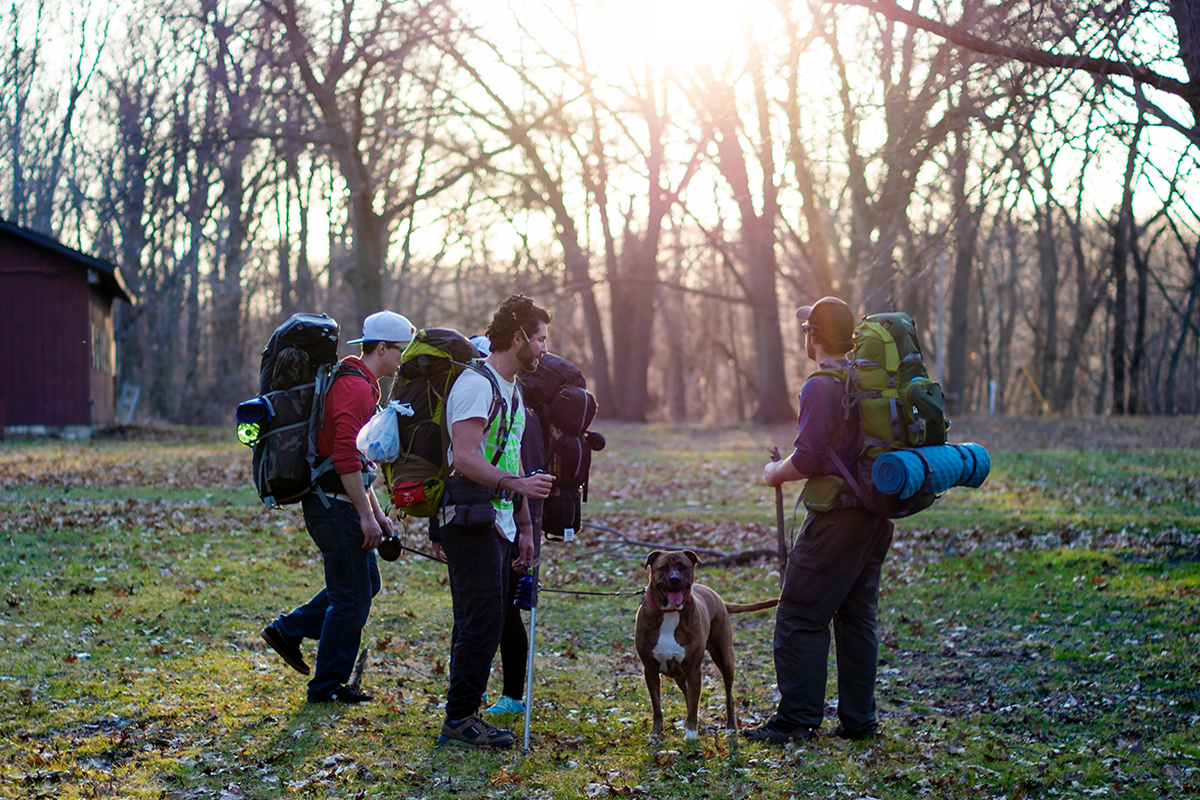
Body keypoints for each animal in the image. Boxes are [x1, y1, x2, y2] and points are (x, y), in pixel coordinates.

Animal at [638, 546, 777, 743]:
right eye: (663, 568)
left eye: (683, 567)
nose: (674, 579)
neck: (670, 612)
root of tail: (718, 597)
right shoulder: (650, 670)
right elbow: (657, 705)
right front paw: (656, 732)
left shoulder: (694, 670)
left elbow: (694, 703)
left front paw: (691, 733)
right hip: (680, 673)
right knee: (687, 694)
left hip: (725, 658)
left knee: (728, 696)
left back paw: (731, 728)